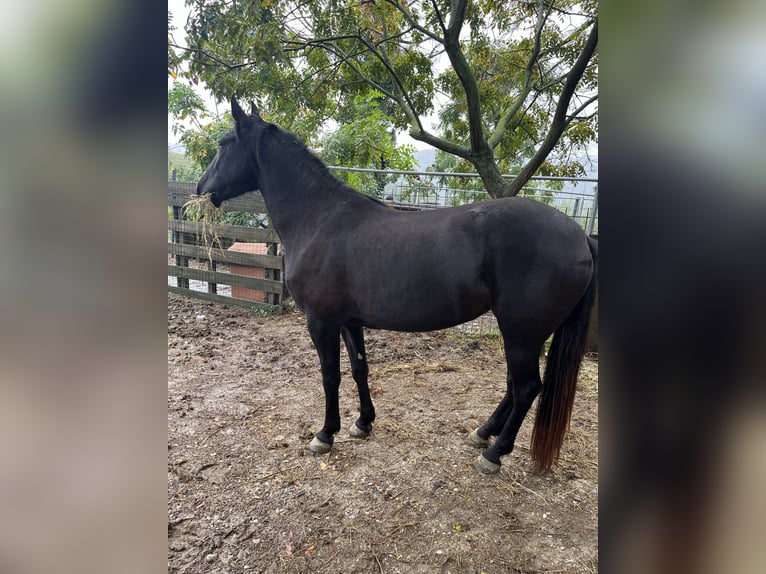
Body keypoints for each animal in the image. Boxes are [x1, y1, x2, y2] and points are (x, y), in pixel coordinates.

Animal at [198, 98, 600, 476]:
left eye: (223, 144)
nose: (203, 188)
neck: (319, 217)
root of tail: (580, 235)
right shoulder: (349, 322)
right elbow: (360, 369)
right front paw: (363, 423)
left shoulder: (321, 322)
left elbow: (330, 376)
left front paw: (325, 434)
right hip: (521, 334)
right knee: (514, 386)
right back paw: (483, 433)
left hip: (522, 332)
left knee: (527, 388)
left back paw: (494, 453)